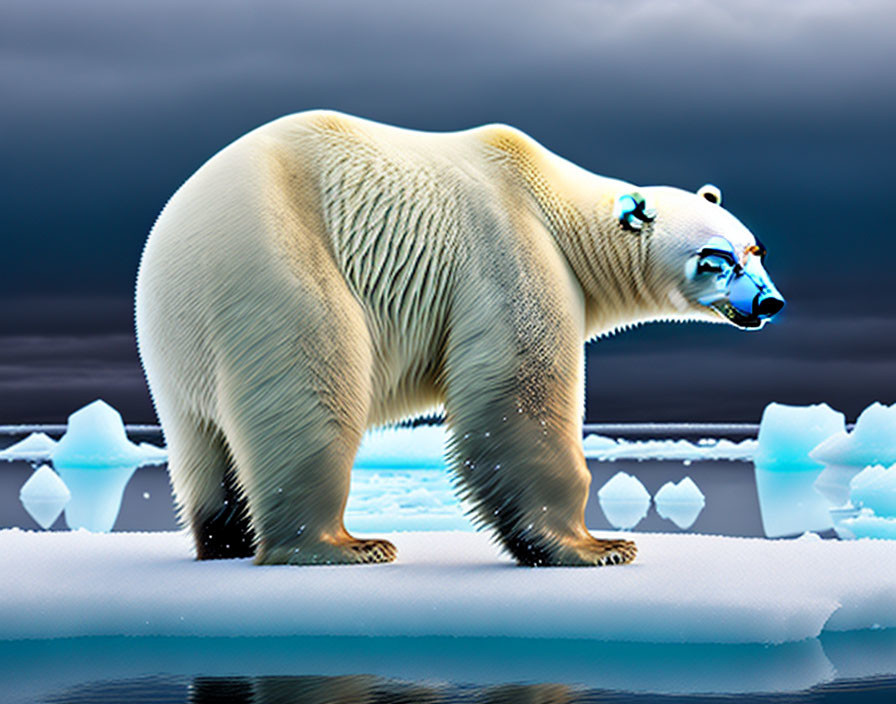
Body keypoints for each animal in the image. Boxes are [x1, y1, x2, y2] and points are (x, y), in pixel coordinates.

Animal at [135, 110, 784, 568]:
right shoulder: (509, 247)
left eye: (755, 249)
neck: (555, 200)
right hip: (278, 255)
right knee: (315, 391)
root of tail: (176, 231)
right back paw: (344, 545)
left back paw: (226, 540)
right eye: (715, 259)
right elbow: (517, 396)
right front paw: (598, 547)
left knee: (202, 442)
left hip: (179, 337)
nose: (768, 302)